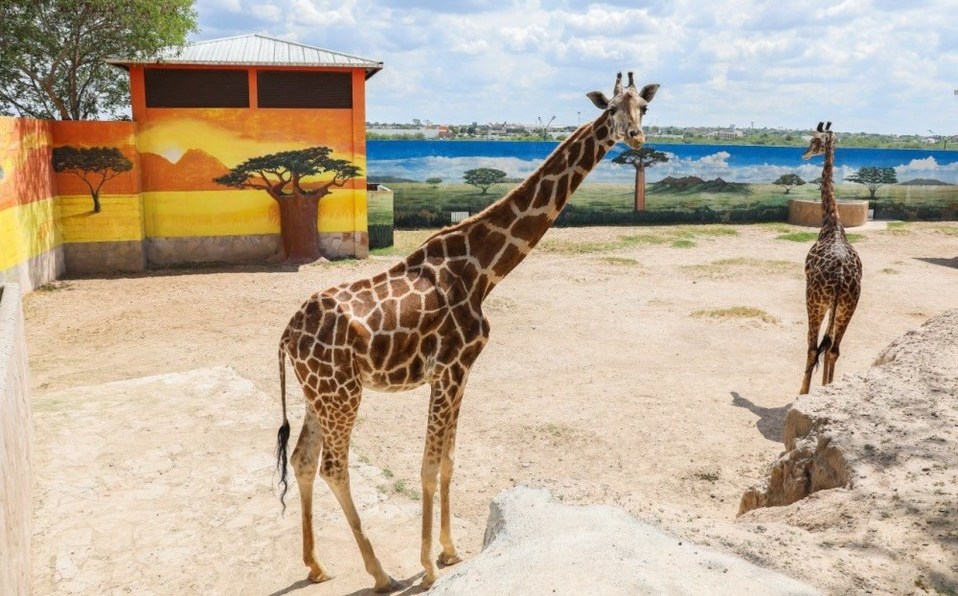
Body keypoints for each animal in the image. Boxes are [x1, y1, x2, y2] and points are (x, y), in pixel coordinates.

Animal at [274, 72, 656, 588]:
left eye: (644, 107)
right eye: (613, 107)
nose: (636, 138)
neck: (483, 271)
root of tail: (287, 335)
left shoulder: (461, 372)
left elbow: (450, 462)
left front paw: (451, 551)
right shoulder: (449, 369)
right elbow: (429, 465)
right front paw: (428, 566)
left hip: (318, 392)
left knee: (303, 460)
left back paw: (316, 566)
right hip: (342, 393)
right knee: (334, 466)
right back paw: (380, 573)